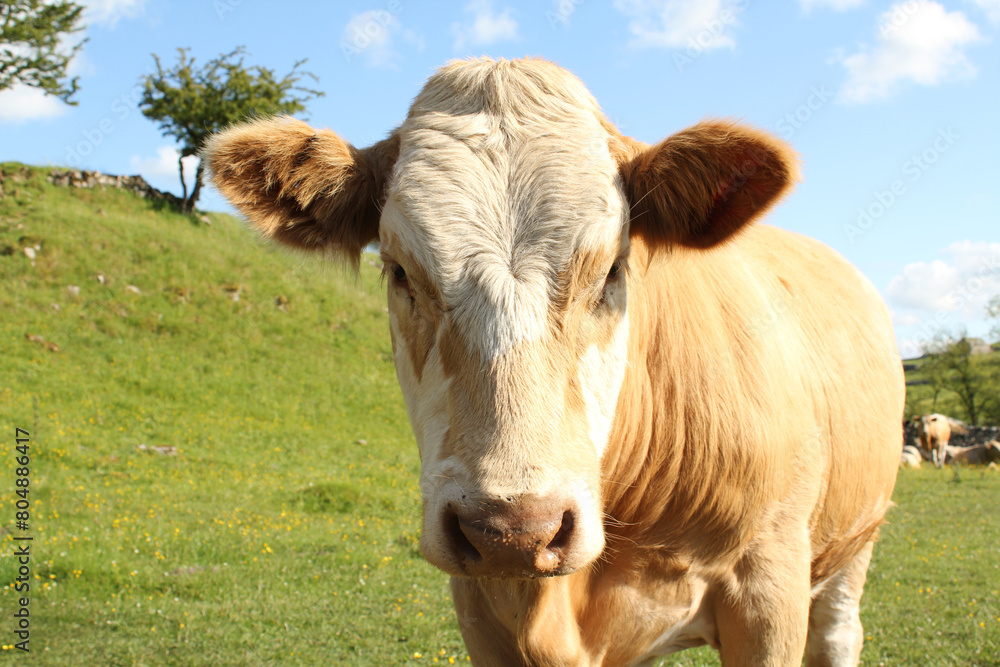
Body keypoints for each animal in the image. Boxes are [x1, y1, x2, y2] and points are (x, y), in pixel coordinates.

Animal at [204, 58, 904, 667]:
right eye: (399, 270)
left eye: (613, 269)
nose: (514, 528)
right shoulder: (481, 605)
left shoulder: (769, 582)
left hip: (853, 546)